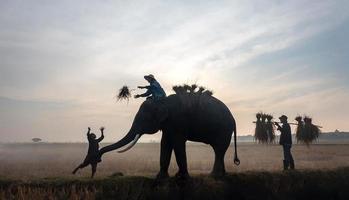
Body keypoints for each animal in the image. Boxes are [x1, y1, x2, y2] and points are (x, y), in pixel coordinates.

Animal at [98, 85, 239, 178]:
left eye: (144, 119)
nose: (98, 158)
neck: (162, 101)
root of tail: (233, 119)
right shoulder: (168, 124)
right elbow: (165, 143)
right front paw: (161, 177)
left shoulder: (178, 121)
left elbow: (177, 143)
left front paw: (181, 177)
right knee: (219, 150)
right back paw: (221, 175)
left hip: (224, 130)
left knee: (219, 149)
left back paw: (214, 176)